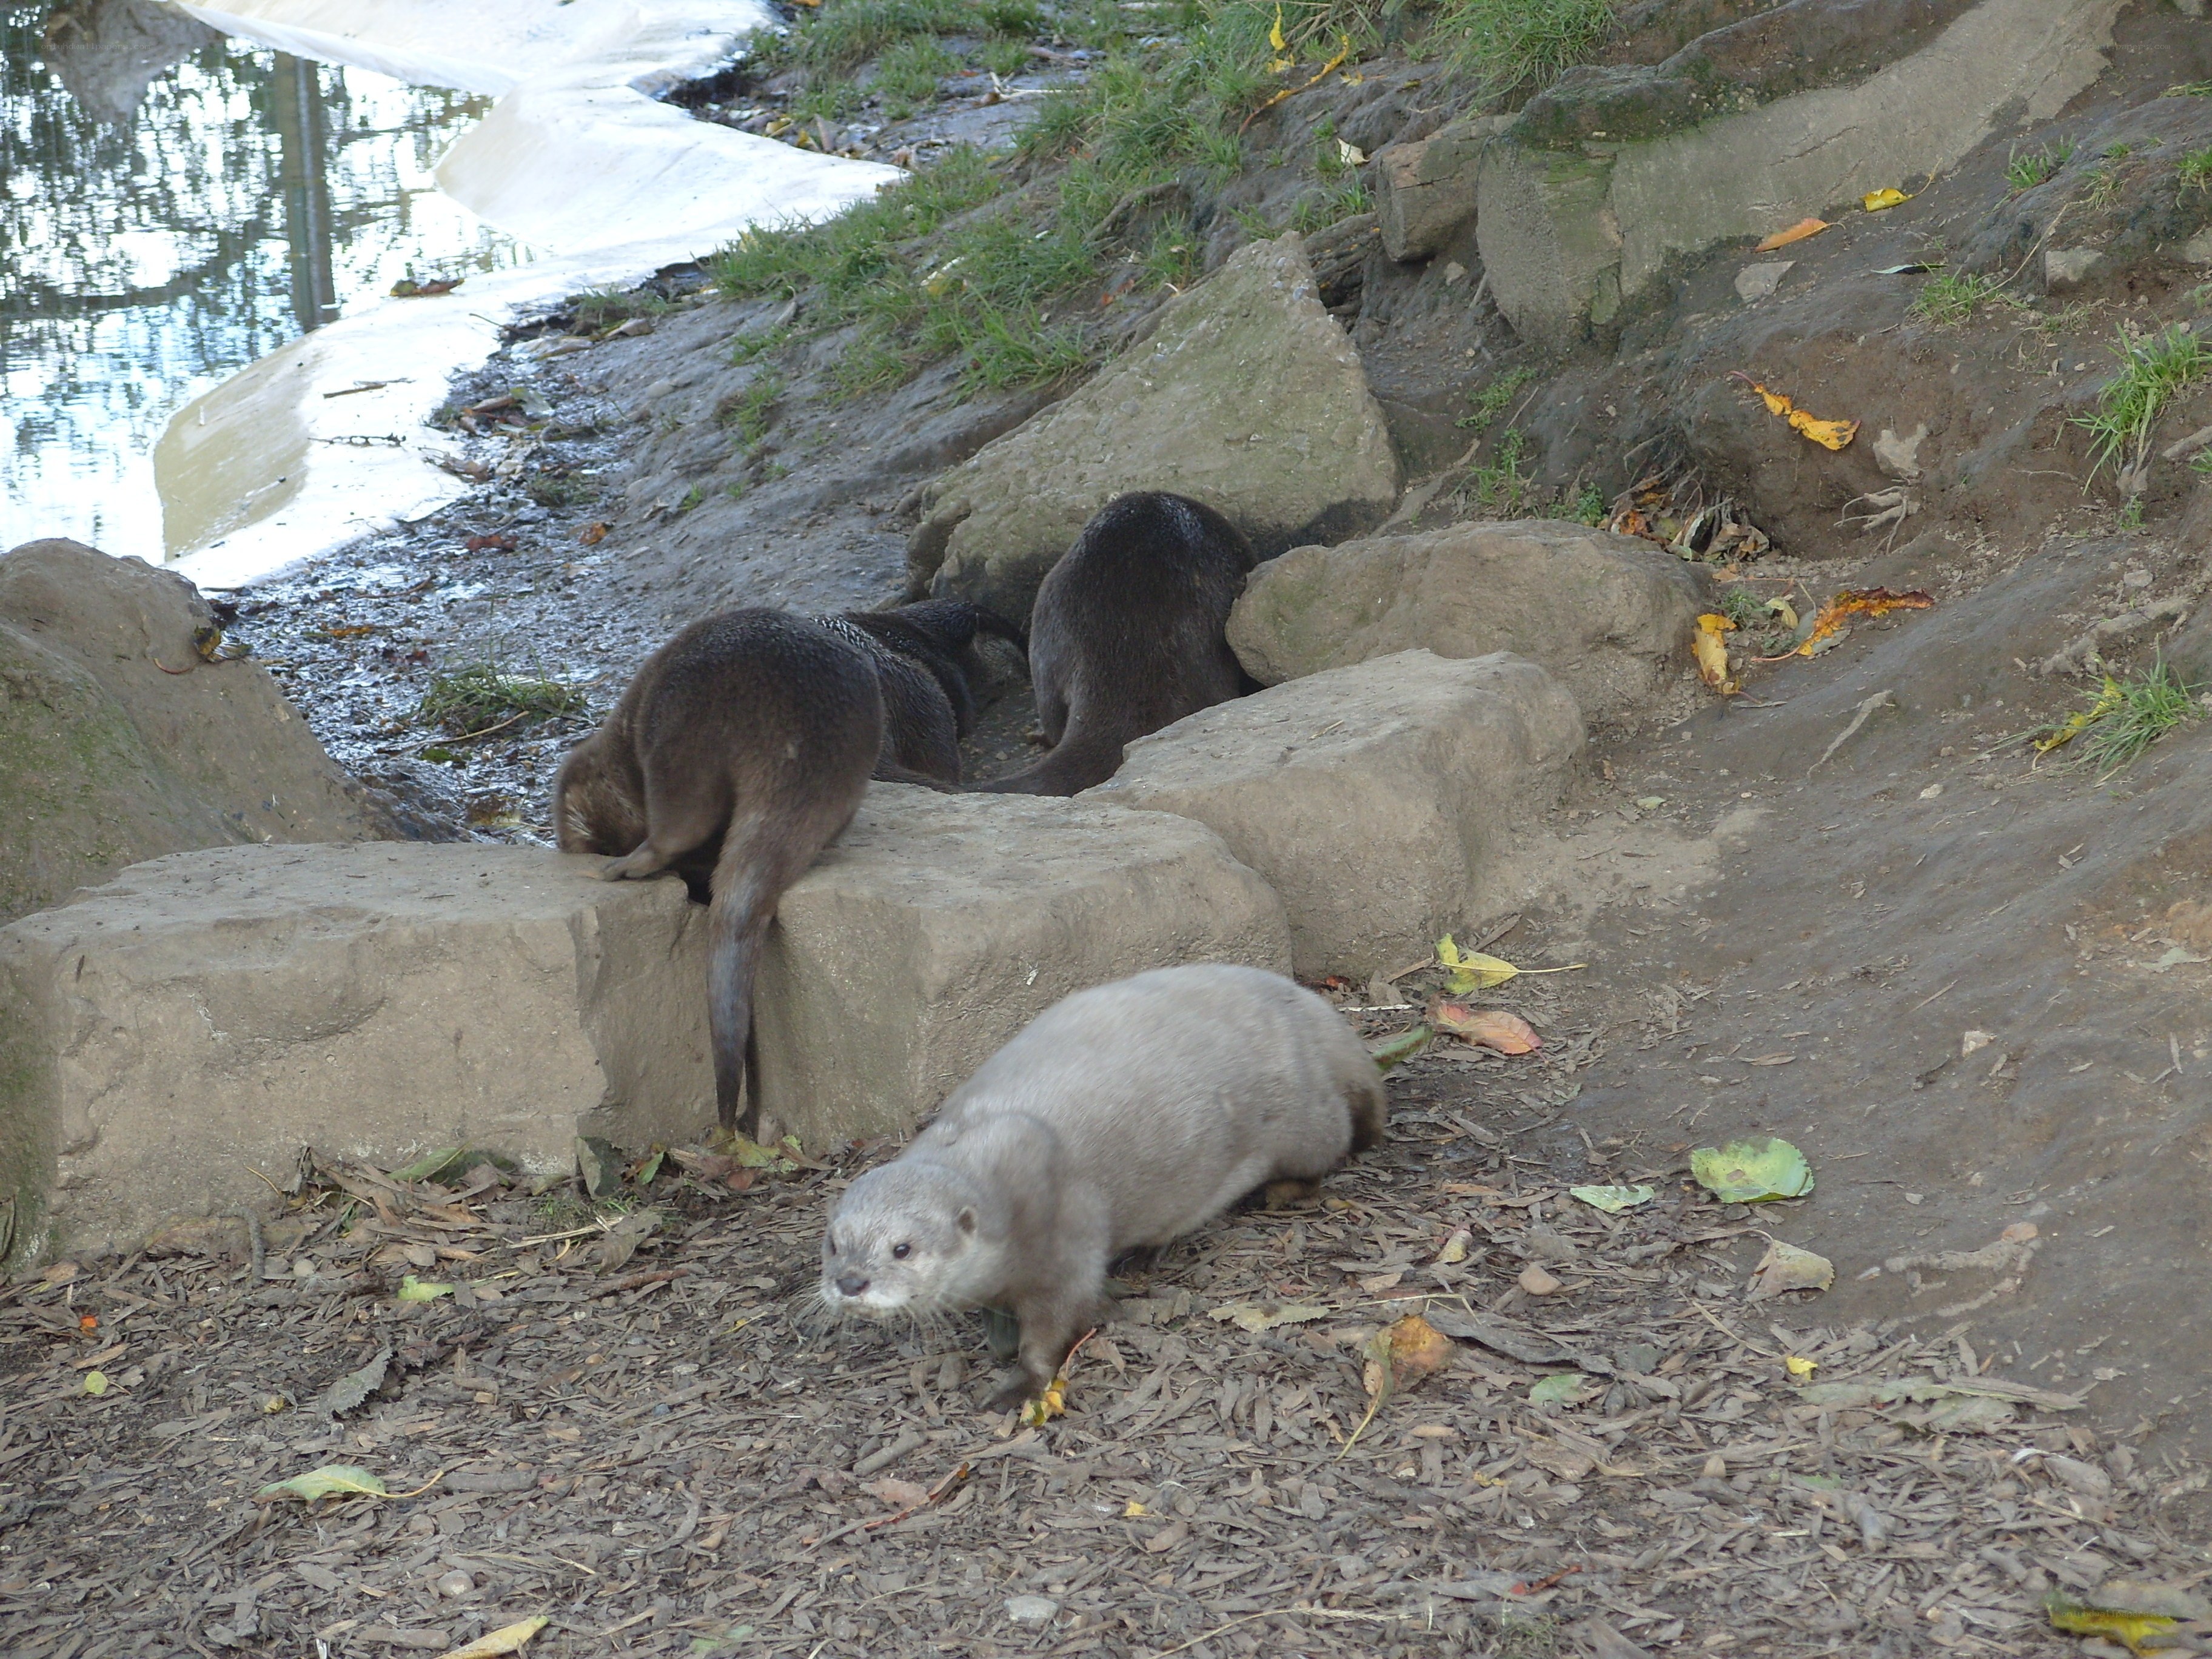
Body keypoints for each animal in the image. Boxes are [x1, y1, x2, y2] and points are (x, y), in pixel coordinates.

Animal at [820, 964, 1387, 1408]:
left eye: (902, 1248)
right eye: (834, 1244)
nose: (850, 1281)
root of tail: (1311, 1008)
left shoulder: (1066, 1239)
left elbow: (1055, 1326)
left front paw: (1019, 1385)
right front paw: (997, 1332)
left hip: (1305, 1119)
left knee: (1339, 1141)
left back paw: (1275, 1193)